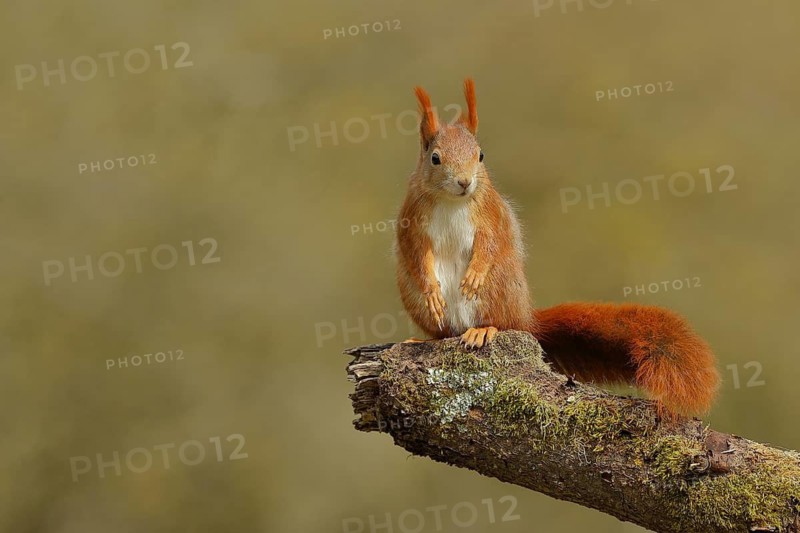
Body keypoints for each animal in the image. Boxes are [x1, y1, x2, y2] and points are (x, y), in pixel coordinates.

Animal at [394, 78, 720, 417]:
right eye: (435, 158)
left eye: (480, 155)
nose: (464, 182)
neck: (452, 202)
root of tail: (528, 318)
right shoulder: (412, 221)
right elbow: (416, 252)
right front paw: (432, 290)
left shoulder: (490, 216)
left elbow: (491, 243)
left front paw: (474, 274)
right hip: (413, 294)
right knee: (444, 330)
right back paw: (425, 338)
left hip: (499, 288)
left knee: (503, 324)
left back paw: (484, 330)